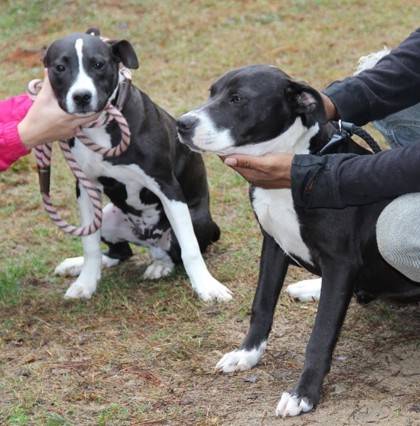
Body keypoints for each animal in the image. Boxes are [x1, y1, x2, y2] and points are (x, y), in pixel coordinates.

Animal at [45, 30, 233, 302]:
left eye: (99, 64)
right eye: (60, 67)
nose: (81, 97)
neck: (101, 125)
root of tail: (148, 240)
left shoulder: (168, 187)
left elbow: (190, 249)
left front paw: (207, 286)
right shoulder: (85, 188)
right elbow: (90, 245)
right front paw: (85, 283)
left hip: (196, 221)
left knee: (174, 251)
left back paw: (161, 266)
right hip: (109, 217)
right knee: (120, 252)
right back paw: (78, 264)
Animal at [177, 65, 420, 418]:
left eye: (237, 99)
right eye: (212, 93)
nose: (182, 124)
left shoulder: (339, 263)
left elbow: (320, 335)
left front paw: (303, 394)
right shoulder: (273, 244)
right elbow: (262, 305)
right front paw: (247, 354)